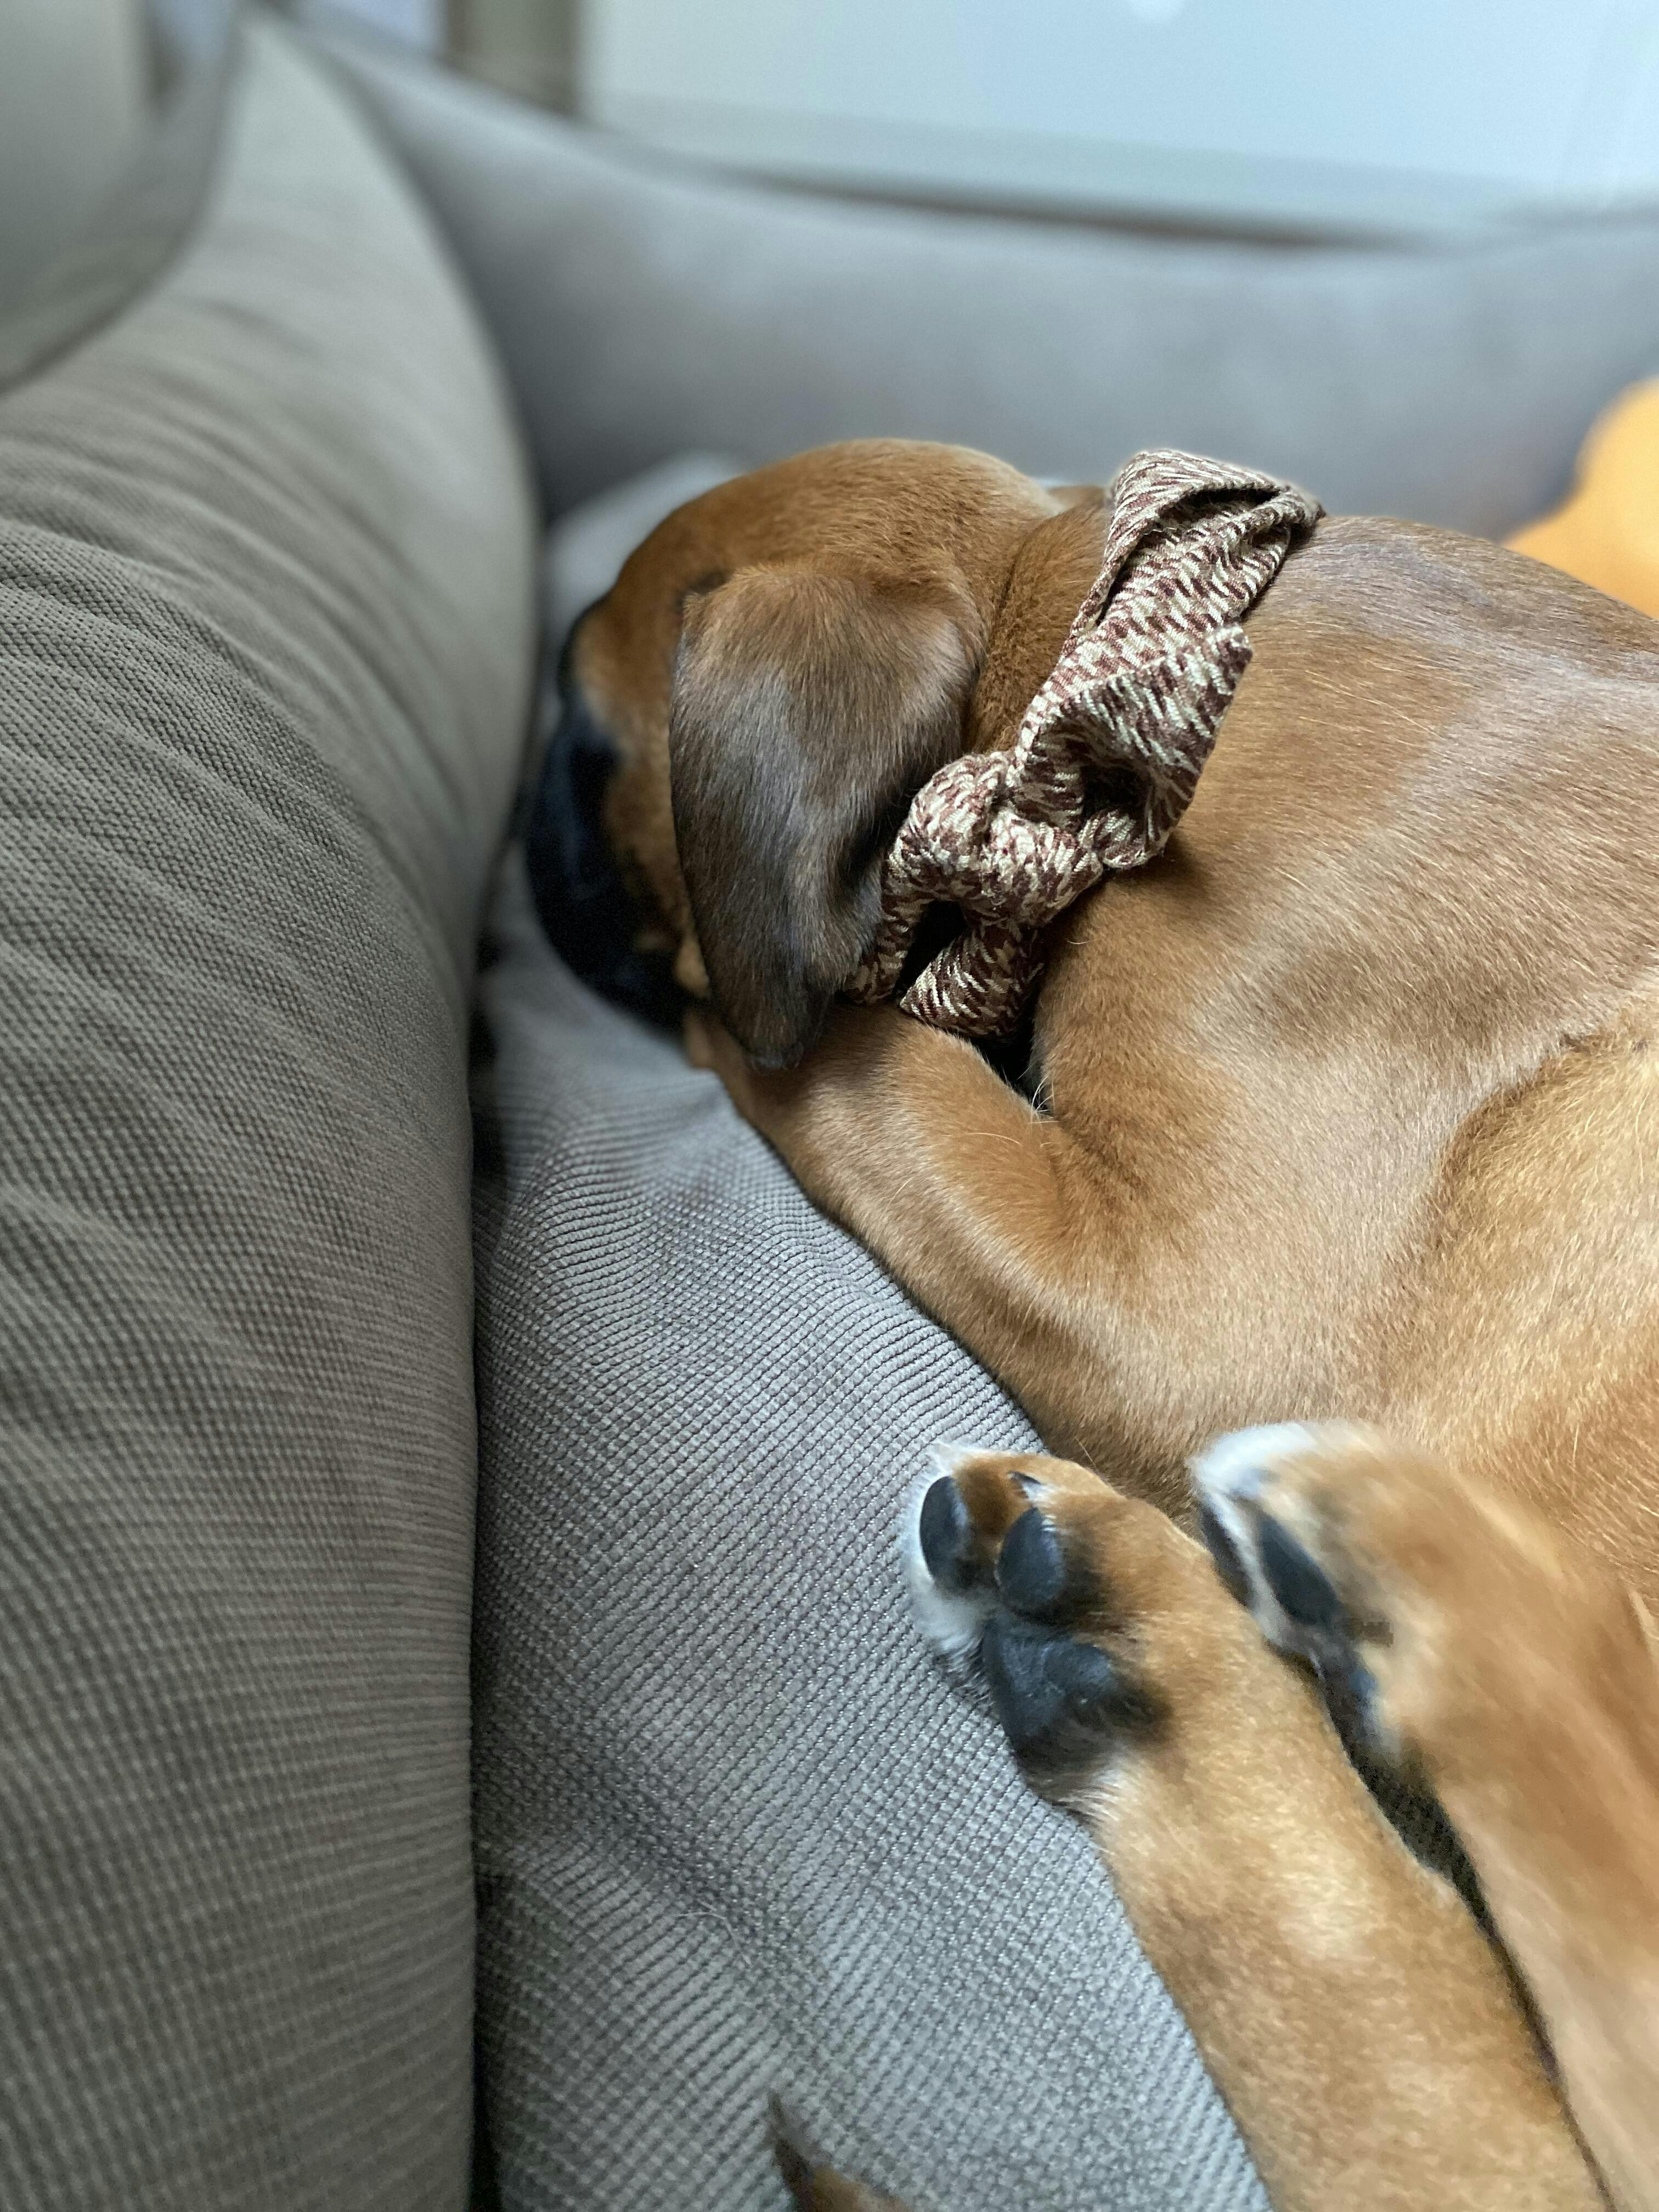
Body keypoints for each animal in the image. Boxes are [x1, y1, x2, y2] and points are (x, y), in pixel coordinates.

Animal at [528, 438, 1659, 2210]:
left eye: (583, 744)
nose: (517, 844)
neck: (1066, 618)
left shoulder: (1189, 1298)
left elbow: (869, 1066)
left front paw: (723, 1016)